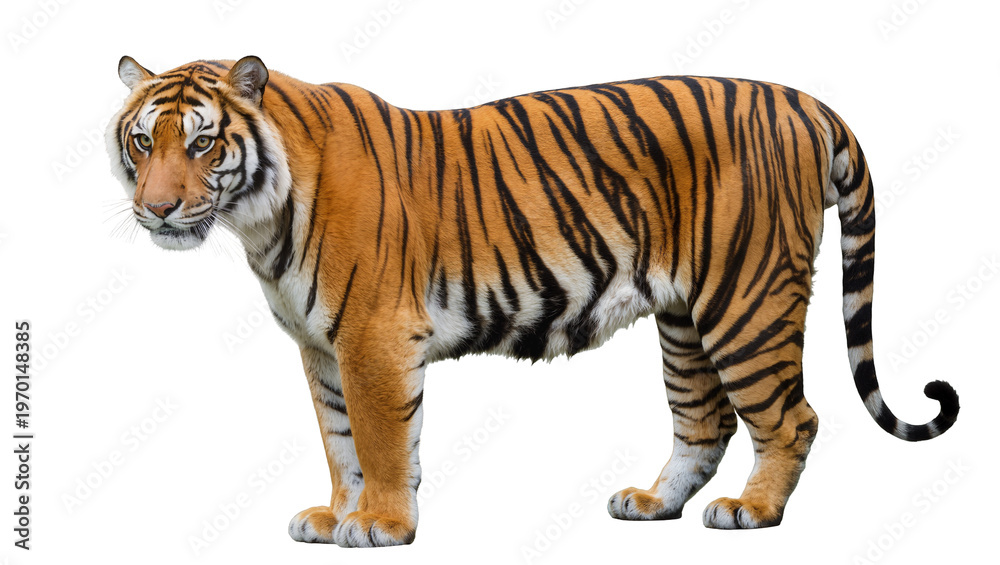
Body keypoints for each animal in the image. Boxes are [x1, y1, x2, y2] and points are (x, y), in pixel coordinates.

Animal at [106, 55, 960, 547]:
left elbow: (381, 441)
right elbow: (339, 439)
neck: (258, 218)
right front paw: (334, 514)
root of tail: (807, 101)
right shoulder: (321, 346)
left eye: (203, 142)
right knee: (704, 420)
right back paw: (652, 502)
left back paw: (753, 511)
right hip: (684, 317)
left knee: (793, 416)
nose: (156, 210)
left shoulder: (372, 337)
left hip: (744, 297)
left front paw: (379, 524)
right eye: (145, 141)